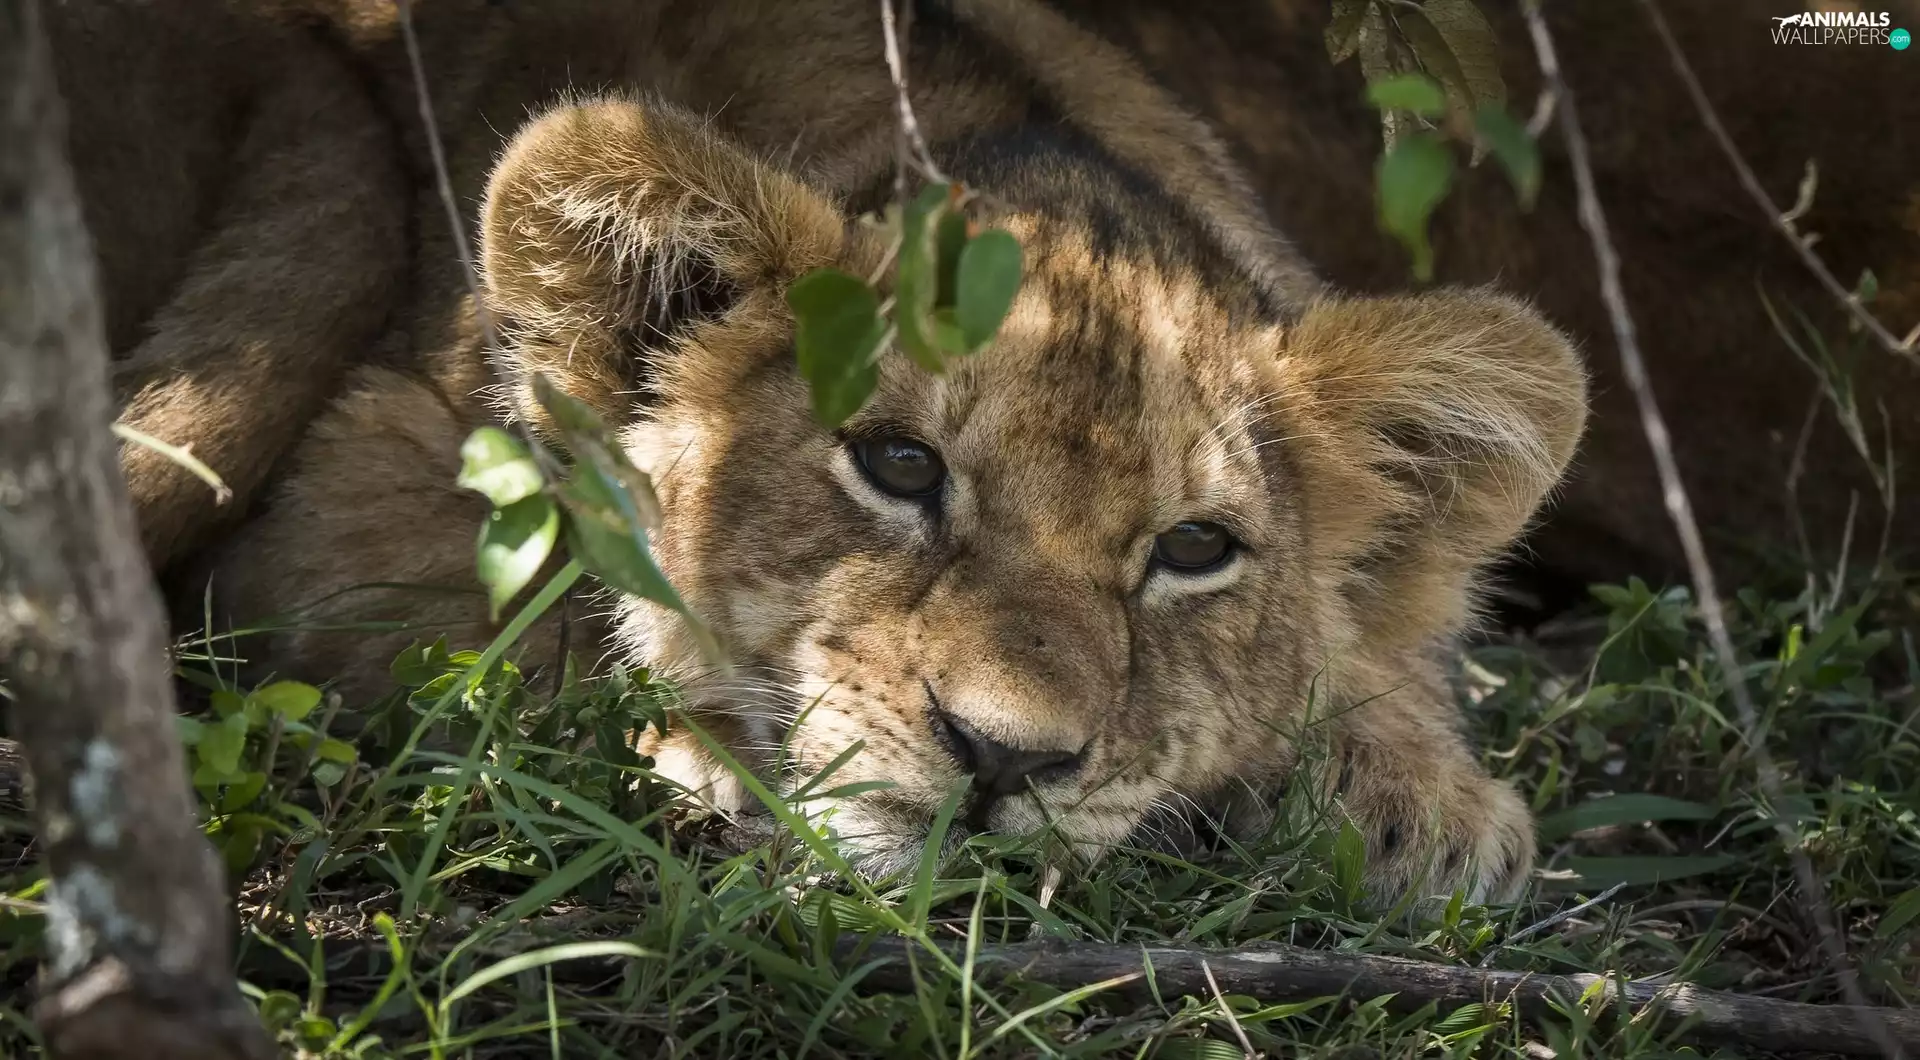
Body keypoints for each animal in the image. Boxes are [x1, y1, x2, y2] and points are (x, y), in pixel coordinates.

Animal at [53, 0, 1590, 904]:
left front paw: (1425, 806)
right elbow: (546, 647)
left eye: (1195, 550)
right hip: (330, 193)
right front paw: (715, 768)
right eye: (898, 467)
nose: (1003, 759)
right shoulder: (352, 500)